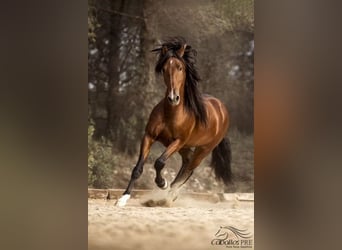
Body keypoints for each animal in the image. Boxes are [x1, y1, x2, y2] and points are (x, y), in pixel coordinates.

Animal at [116, 35, 231, 207]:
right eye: (164, 69)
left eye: (180, 68)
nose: (173, 98)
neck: (171, 114)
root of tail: (222, 110)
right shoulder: (149, 136)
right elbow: (138, 168)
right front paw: (123, 198)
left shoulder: (177, 141)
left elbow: (159, 162)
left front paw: (162, 183)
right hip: (186, 148)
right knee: (186, 165)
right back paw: (169, 195)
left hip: (203, 149)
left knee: (189, 169)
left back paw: (169, 195)